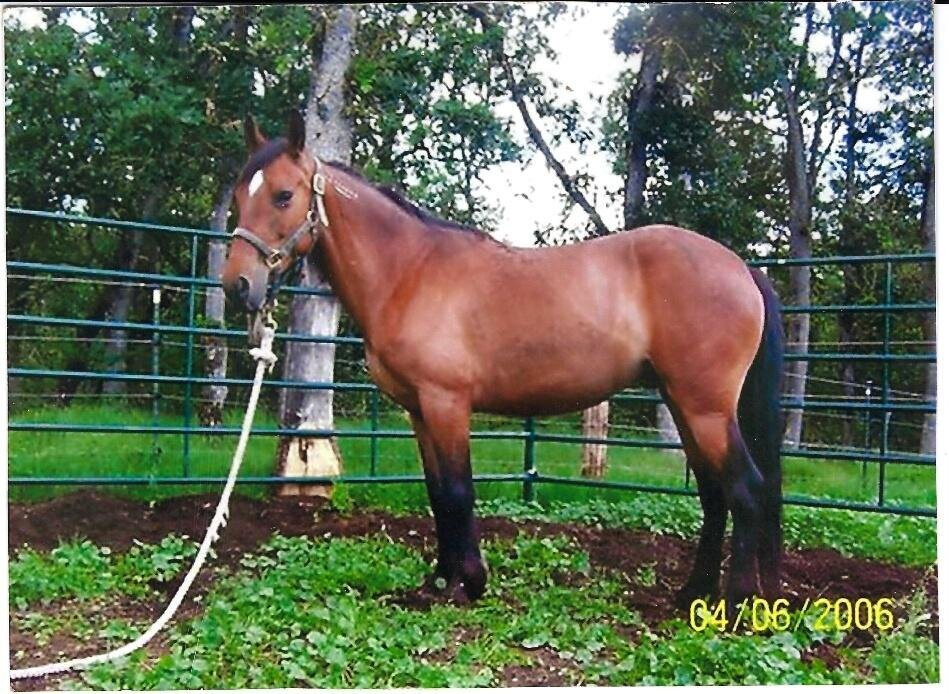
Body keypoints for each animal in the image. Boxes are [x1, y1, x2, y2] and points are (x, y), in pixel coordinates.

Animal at [222, 111, 785, 612]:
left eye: (284, 195)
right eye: (238, 198)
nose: (238, 286)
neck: (410, 273)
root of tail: (742, 268)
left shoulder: (447, 404)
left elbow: (457, 492)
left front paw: (467, 583)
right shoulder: (419, 411)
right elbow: (437, 495)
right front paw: (439, 581)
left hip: (705, 407)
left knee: (745, 490)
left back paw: (736, 604)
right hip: (685, 403)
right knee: (714, 495)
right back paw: (692, 595)